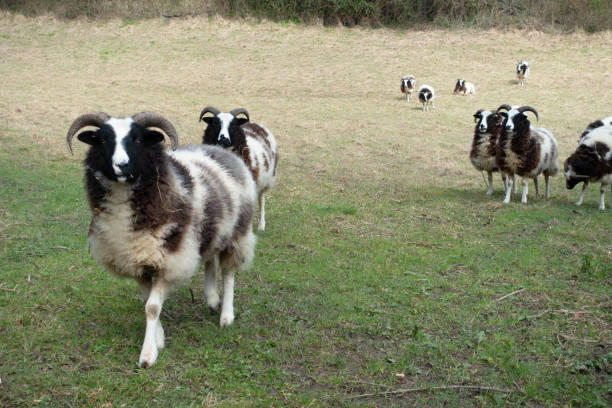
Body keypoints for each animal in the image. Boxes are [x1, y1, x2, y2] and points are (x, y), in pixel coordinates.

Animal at [66, 111, 256, 366]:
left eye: (138, 139)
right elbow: (147, 302)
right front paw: (159, 338)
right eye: (103, 139)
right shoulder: (139, 262)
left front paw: (148, 354)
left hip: (238, 233)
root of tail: (219, 150)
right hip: (210, 231)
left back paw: (226, 315)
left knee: (228, 273)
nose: (121, 165)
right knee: (209, 260)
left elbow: (153, 307)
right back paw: (211, 299)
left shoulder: (171, 261)